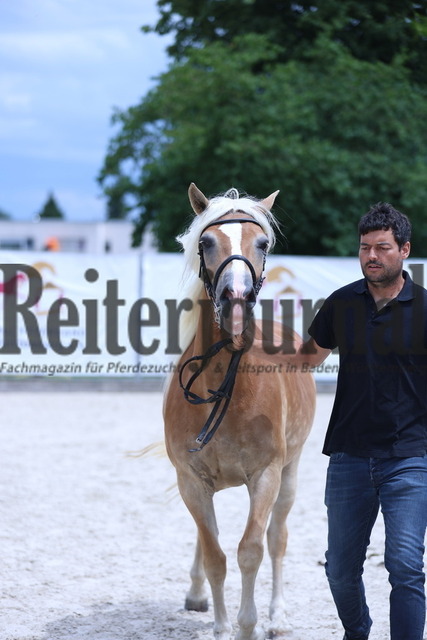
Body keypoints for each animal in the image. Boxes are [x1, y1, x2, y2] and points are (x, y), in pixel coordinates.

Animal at [163, 183, 316, 640]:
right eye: (206, 242)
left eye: (263, 243)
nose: (236, 298)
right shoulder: (191, 482)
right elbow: (214, 553)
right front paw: (220, 624)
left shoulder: (266, 475)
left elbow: (251, 550)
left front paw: (248, 624)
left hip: (290, 473)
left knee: (277, 537)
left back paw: (278, 616)